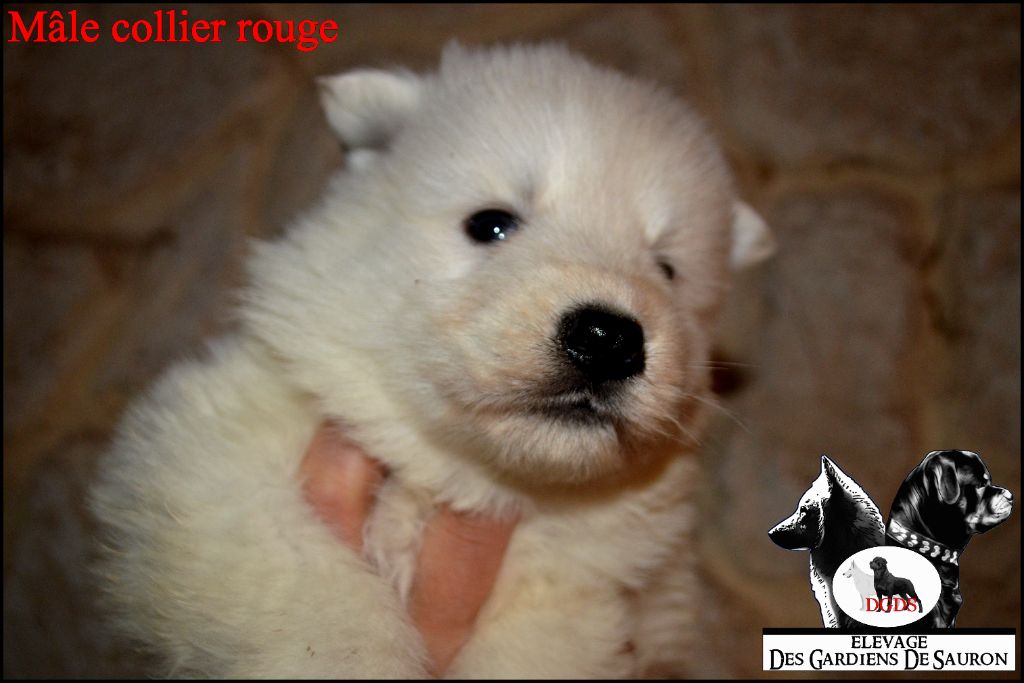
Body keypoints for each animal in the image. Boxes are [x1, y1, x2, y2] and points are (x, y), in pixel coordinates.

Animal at [89, 44, 774, 677]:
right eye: (491, 224)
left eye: (667, 269)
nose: (608, 337)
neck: (461, 478)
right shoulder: (216, 477)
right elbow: (321, 607)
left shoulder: (579, 594)